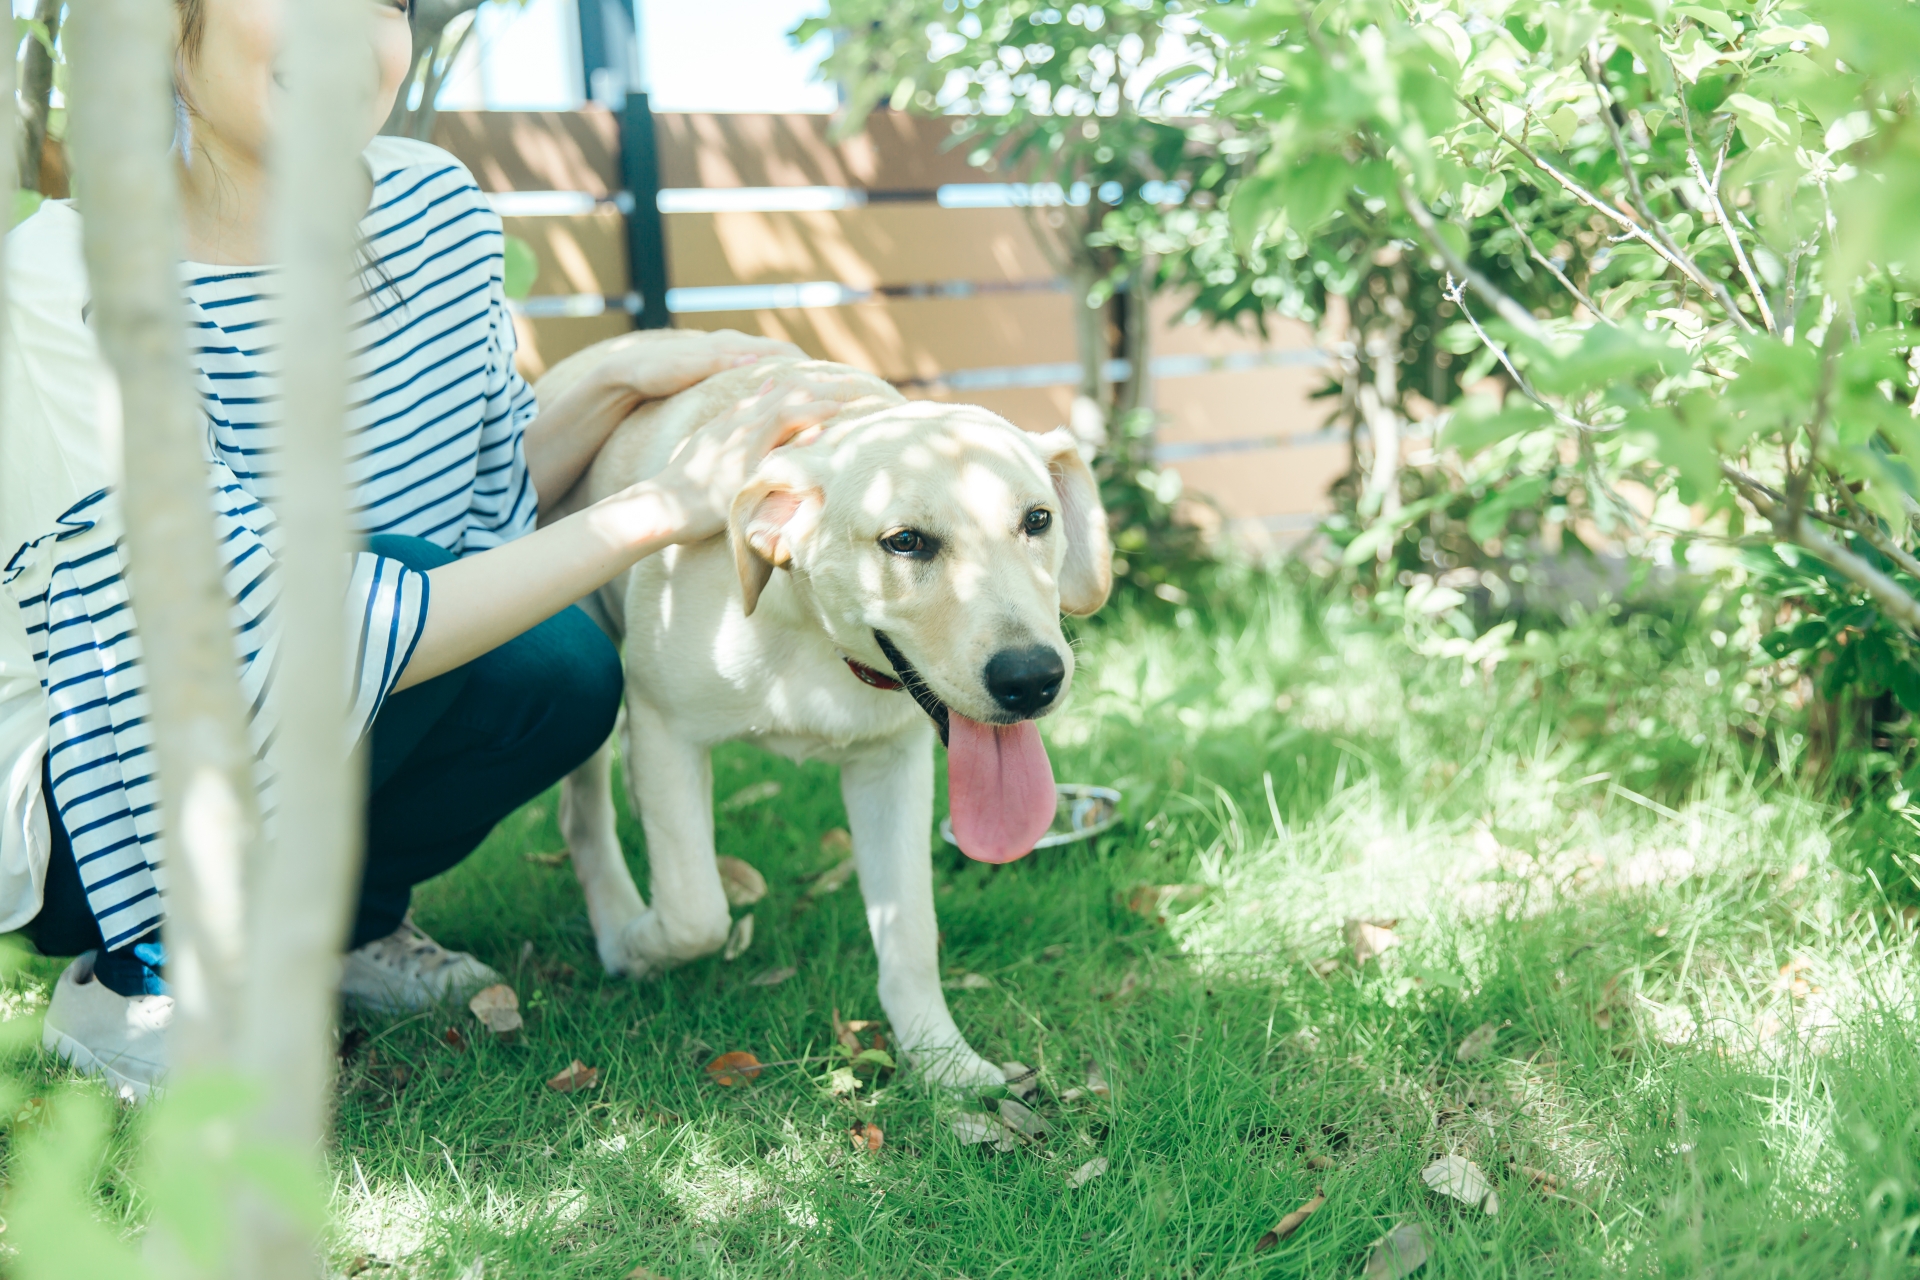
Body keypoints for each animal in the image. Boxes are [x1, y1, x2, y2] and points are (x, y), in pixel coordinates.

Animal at [541, 339, 1113, 1090]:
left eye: (1038, 520)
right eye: (905, 541)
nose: (1032, 680)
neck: (811, 631)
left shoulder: (892, 769)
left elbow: (910, 935)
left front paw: (942, 1061)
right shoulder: (662, 727)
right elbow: (696, 912)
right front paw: (641, 944)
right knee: (584, 817)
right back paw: (615, 922)